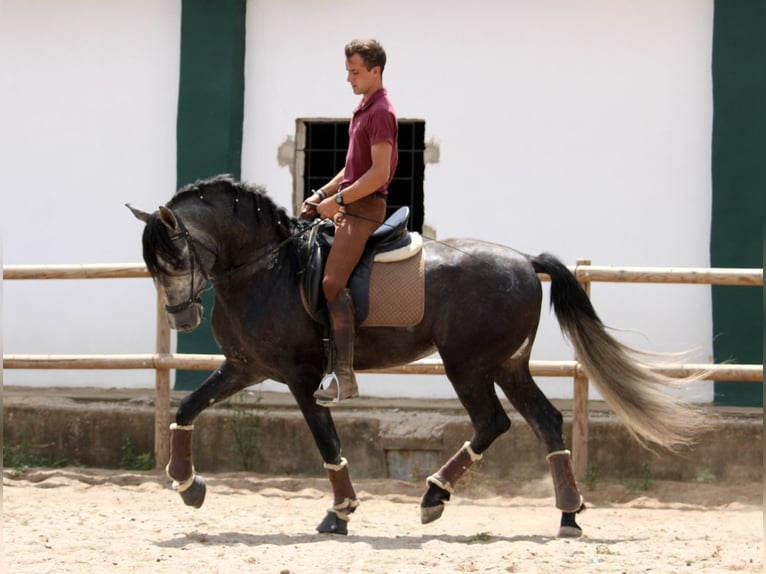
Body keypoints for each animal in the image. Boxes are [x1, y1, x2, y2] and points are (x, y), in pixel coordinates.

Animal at [127, 176, 708, 540]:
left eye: (175, 256)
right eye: (153, 264)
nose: (181, 318)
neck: (265, 267)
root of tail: (524, 260)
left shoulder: (300, 375)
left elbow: (327, 441)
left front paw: (340, 512)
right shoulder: (246, 366)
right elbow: (186, 409)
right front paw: (187, 485)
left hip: (468, 364)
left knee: (493, 422)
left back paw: (435, 496)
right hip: (507, 365)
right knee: (544, 421)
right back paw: (567, 515)